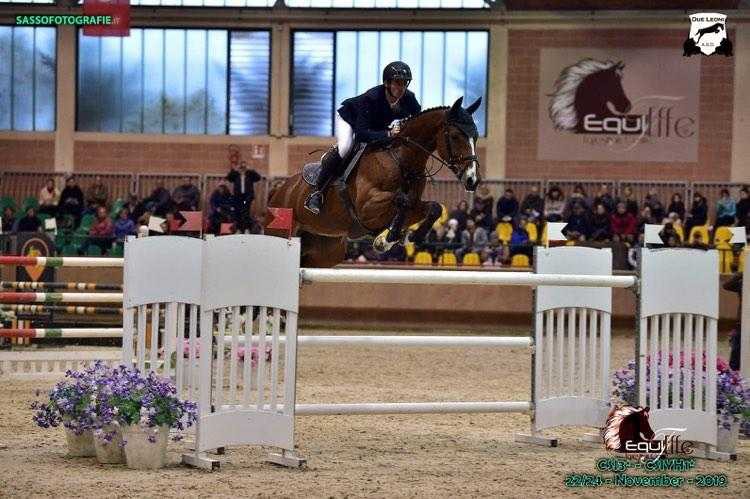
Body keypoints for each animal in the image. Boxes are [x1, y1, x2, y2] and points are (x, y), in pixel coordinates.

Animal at [268, 96, 484, 268]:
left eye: (476, 137)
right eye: (455, 136)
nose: (472, 180)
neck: (402, 159)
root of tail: (279, 190)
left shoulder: (414, 206)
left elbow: (433, 208)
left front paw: (407, 237)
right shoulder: (367, 209)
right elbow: (402, 200)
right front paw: (389, 238)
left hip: (325, 251)